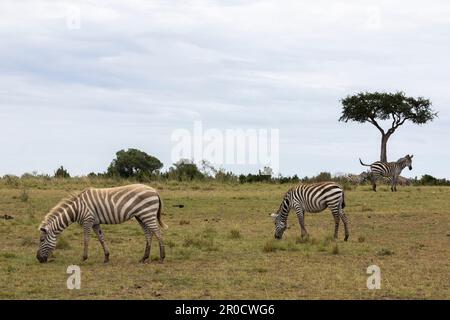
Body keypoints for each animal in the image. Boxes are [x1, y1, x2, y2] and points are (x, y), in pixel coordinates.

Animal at [36, 184, 167, 264]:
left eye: (42, 240)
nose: (38, 259)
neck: (77, 209)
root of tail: (154, 190)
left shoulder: (88, 220)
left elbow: (86, 239)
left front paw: (84, 258)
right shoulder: (95, 223)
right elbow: (101, 238)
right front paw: (106, 257)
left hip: (147, 214)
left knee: (158, 233)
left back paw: (162, 257)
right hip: (140, 216)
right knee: (149, 234)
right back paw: (144, 258)